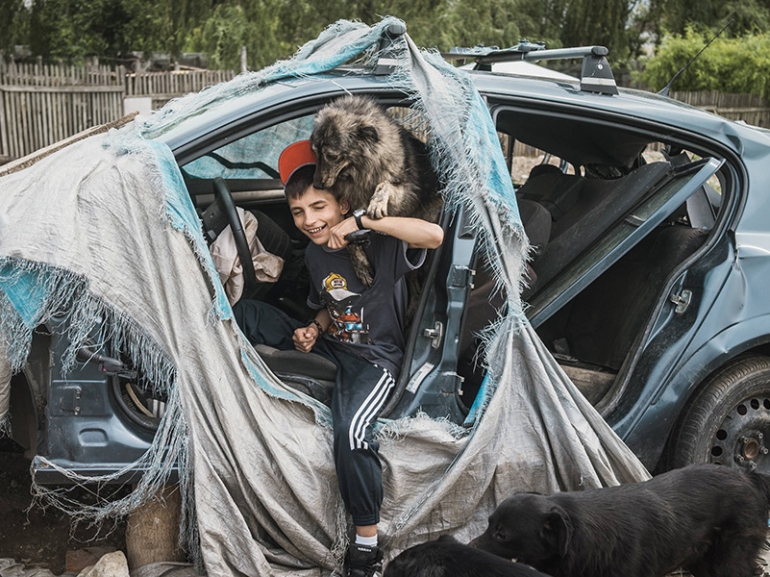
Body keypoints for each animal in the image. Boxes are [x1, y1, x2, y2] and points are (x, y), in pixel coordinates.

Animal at [308, 96, 438, 286]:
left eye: (332, 156)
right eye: (315, 152)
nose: (317, 185)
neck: (358, 173)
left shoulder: (406, 192)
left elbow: (386, 184)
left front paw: (377, 203)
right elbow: (347, 237)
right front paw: (361, 267)